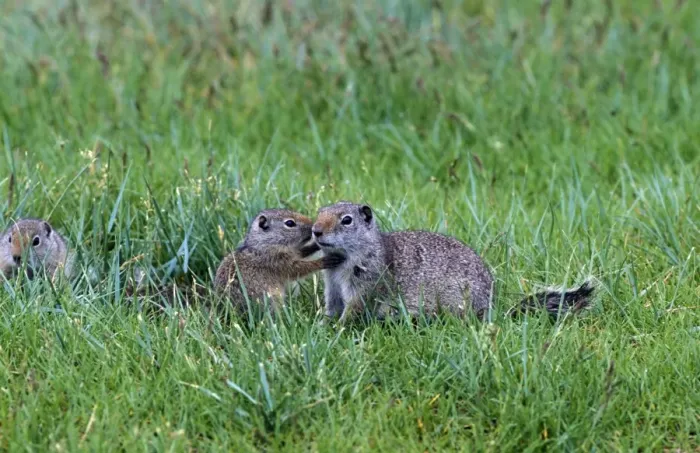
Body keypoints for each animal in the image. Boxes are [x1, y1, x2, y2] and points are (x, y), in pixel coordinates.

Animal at [213, 208, 346, 311]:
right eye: (290, 223)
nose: (312, 226)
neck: (265, 243)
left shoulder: (293, 252)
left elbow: (302, 252)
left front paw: (316, 244)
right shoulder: (278, 261)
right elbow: (300, 268)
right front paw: (326, 260)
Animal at [311, 201, 596, 323]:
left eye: (347, 220)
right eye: (320, 212)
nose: (315, 230)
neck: (342, 260)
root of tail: (491, 309)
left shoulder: (366, 283)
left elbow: (354, 309)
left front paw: (338, 329)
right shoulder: (332, 285)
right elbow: (332, 307)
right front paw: (322, 324)